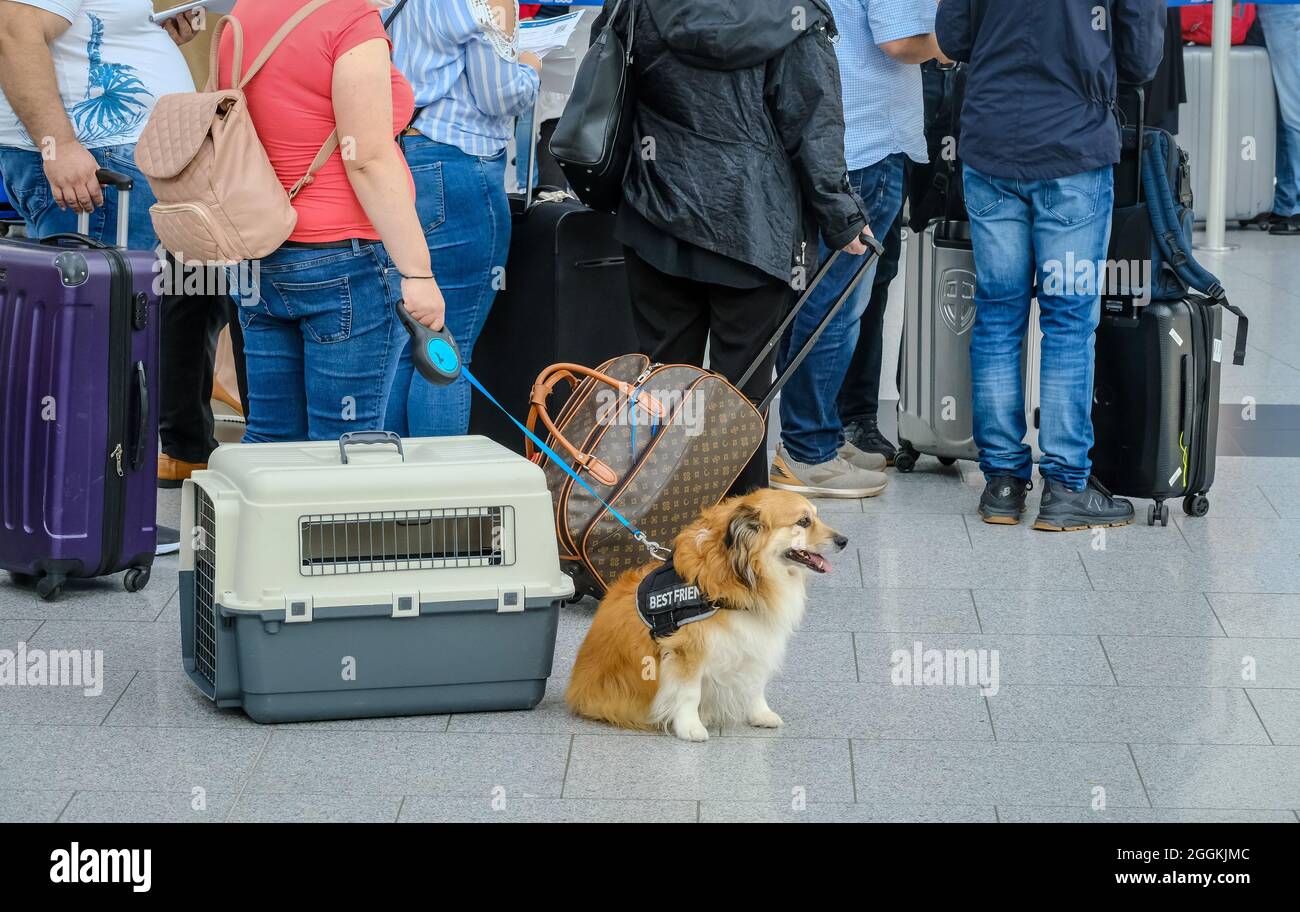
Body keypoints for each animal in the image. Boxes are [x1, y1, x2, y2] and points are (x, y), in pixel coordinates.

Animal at [564, 493, 847, 743]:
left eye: (816, 516)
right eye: (803, 522)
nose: (844, 540)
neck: (741, 575)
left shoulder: (755, 640)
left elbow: (755, 682)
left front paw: (760, 714)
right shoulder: (686, 649)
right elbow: (690, 693)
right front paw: (690, 727)